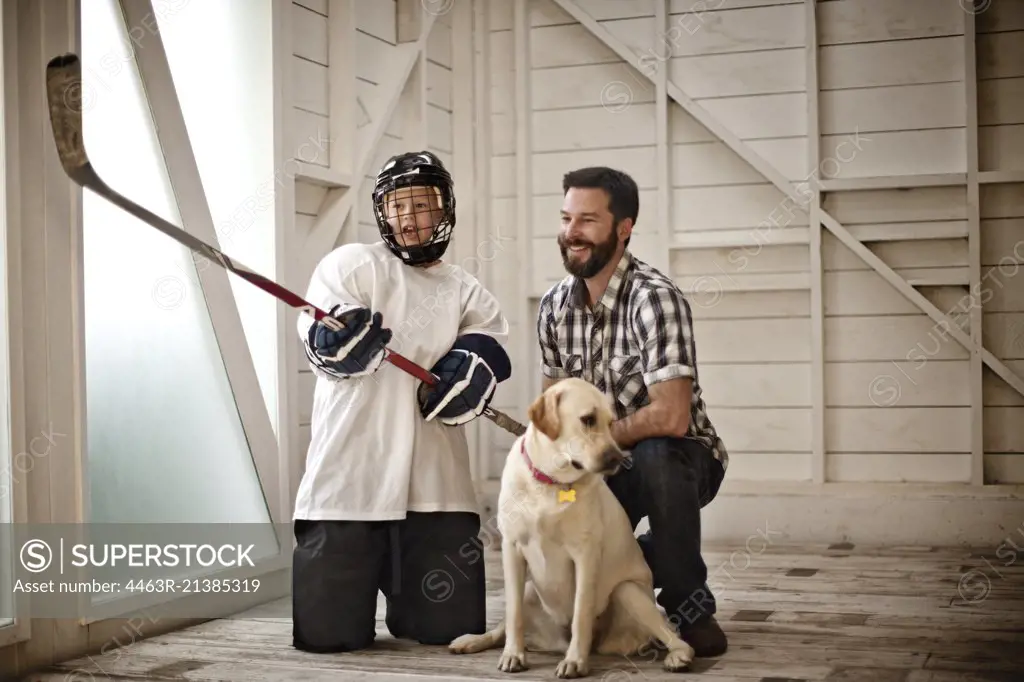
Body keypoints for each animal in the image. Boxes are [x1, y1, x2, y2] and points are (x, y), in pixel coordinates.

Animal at [448, 376, 696, 675]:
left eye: (611, 423)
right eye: (588, 419)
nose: (616, 458)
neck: (550, 481)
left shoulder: (585, 556)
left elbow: (581, 613)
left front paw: (575, 661)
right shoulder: (512, 549)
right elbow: (513, 614)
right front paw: (513, 655)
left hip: (628, 592)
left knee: (673, 635)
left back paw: (678, 656)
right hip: (531, 590)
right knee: (502, 628)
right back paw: (472, 641)